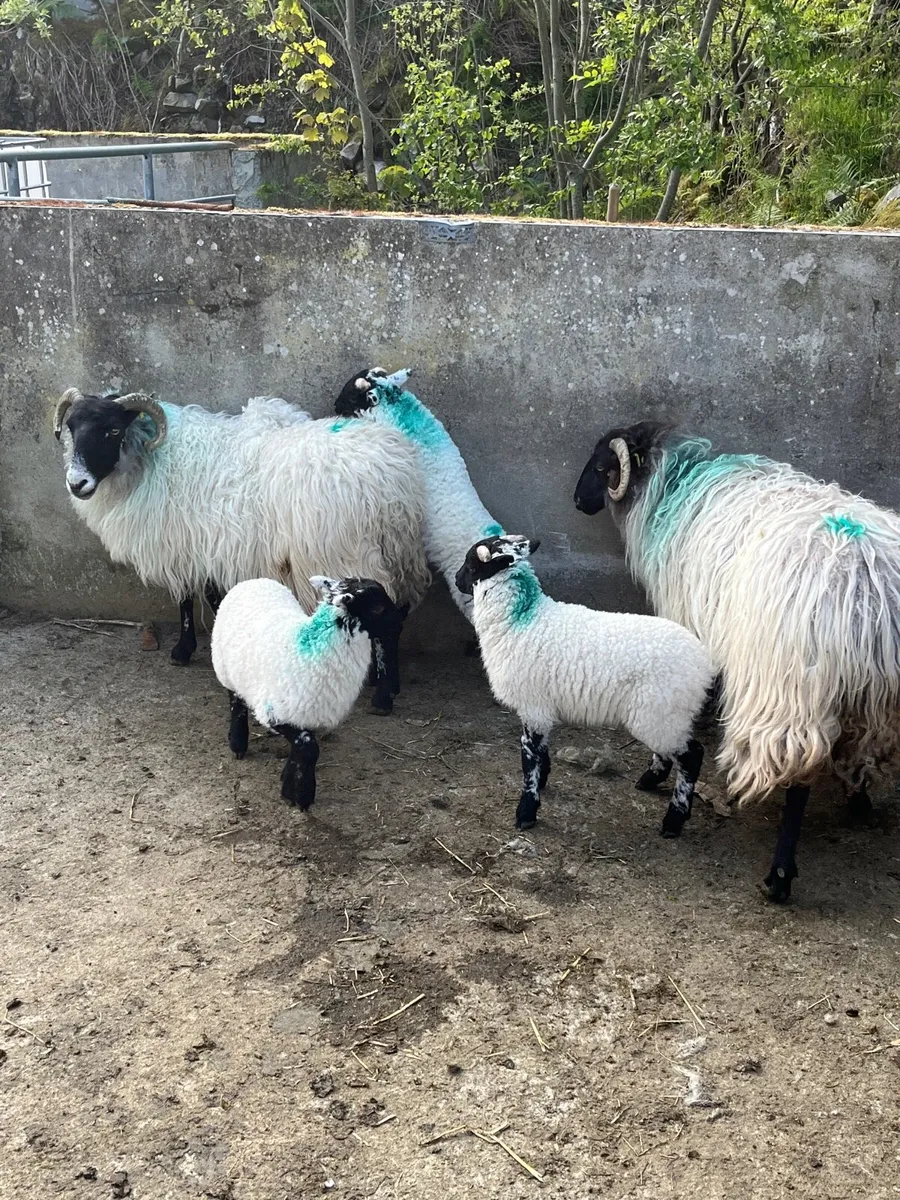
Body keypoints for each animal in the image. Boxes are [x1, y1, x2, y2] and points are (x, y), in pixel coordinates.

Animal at [53, 387, 430, 714]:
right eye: (71, 427)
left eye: (113, 429)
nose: (76, 483)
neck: (152, 460)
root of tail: (391, 479)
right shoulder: (208, 548)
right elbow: (208, 595)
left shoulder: (186, 545)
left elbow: (188, 598)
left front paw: (183, 650)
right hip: (398, 552)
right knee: (395, 614)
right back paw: (385, 682)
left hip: (347, 553)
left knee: (385, 622)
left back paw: (383, 698)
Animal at [211, 575, 403, 809]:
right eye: (377, 608)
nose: (399, 624)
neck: (310, 650)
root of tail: (254, 580)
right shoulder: (275, 711)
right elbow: (309, 748)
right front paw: (302, 796)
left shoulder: (309, 711)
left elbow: (301, 748)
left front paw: (288, 784)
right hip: (225, 668)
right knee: (236, 703)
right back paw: (238, 744)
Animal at [455, 533, 714, 835]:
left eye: (471, 565)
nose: (456, 579)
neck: (521, 618)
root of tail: (704, 664)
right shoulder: (542, 709)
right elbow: (541, 753)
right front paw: (543, 781)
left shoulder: (533, 707)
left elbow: (529, 759)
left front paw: (527, 811)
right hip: (661, 713)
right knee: (669, 752)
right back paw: (648, 781)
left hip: (662, 710)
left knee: (692, 756)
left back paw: (674, 820)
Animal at [574, 422, 900, 902]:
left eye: (601, 466)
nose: (578, 501)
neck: (672, 484)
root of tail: (866, 585)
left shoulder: (686, 619)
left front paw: (656, 771)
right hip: (875, 700)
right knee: (860, 751)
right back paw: (858, 801)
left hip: (790, 692)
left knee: (799, 779)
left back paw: (780, 875)